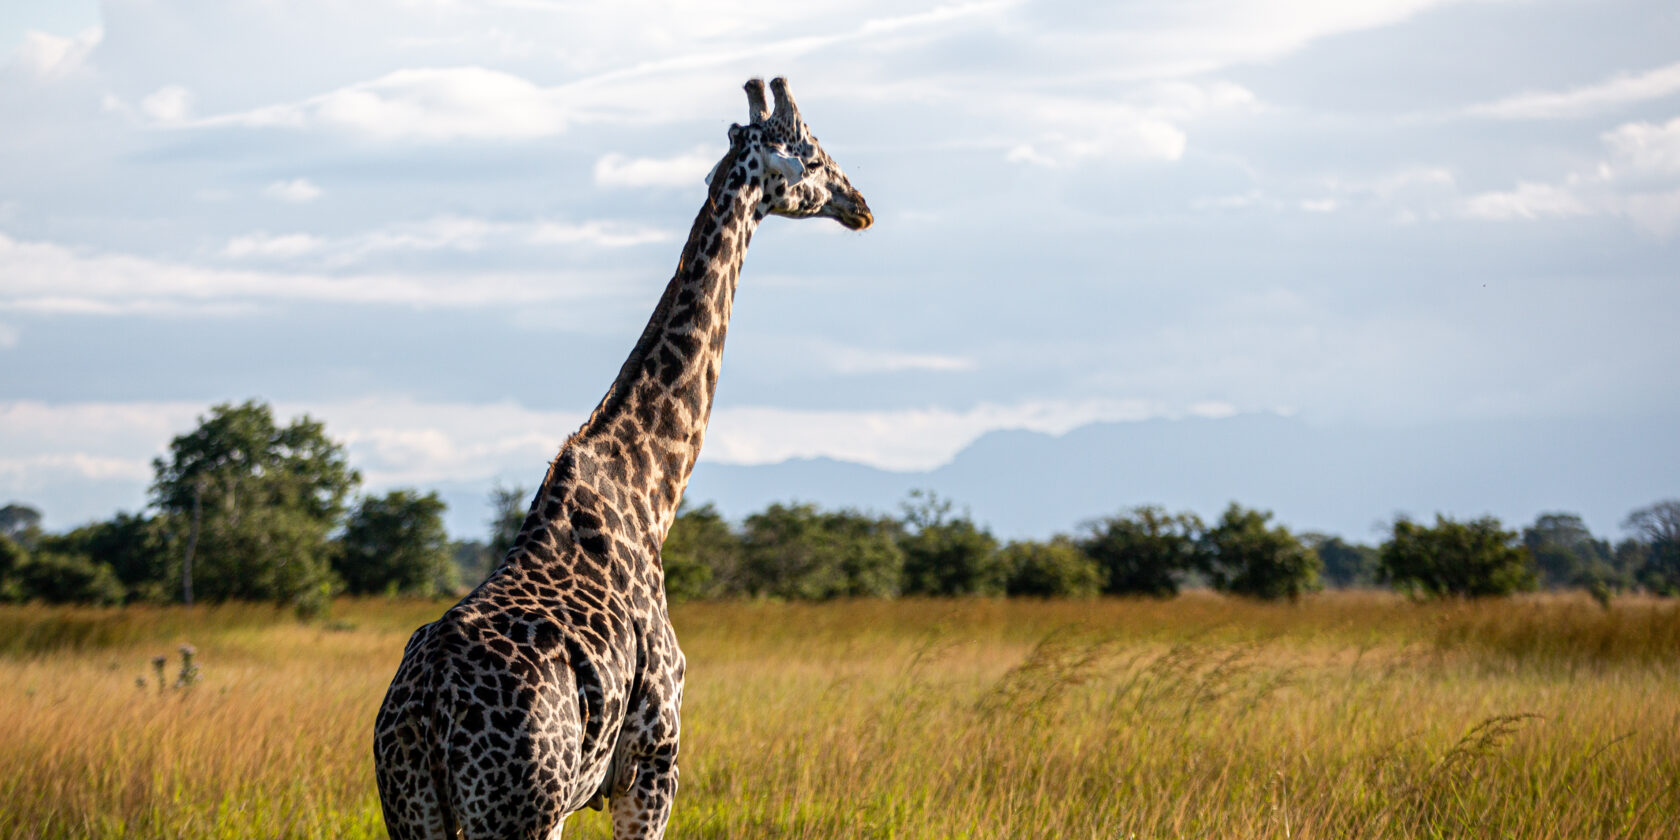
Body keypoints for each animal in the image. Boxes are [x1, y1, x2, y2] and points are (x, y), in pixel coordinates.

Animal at [374, 75, 873, 836]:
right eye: (812, 154)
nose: (860, 204)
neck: (649, 493)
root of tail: (427, 705)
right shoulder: (655, 758)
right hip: (520, 809)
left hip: (415, 809)